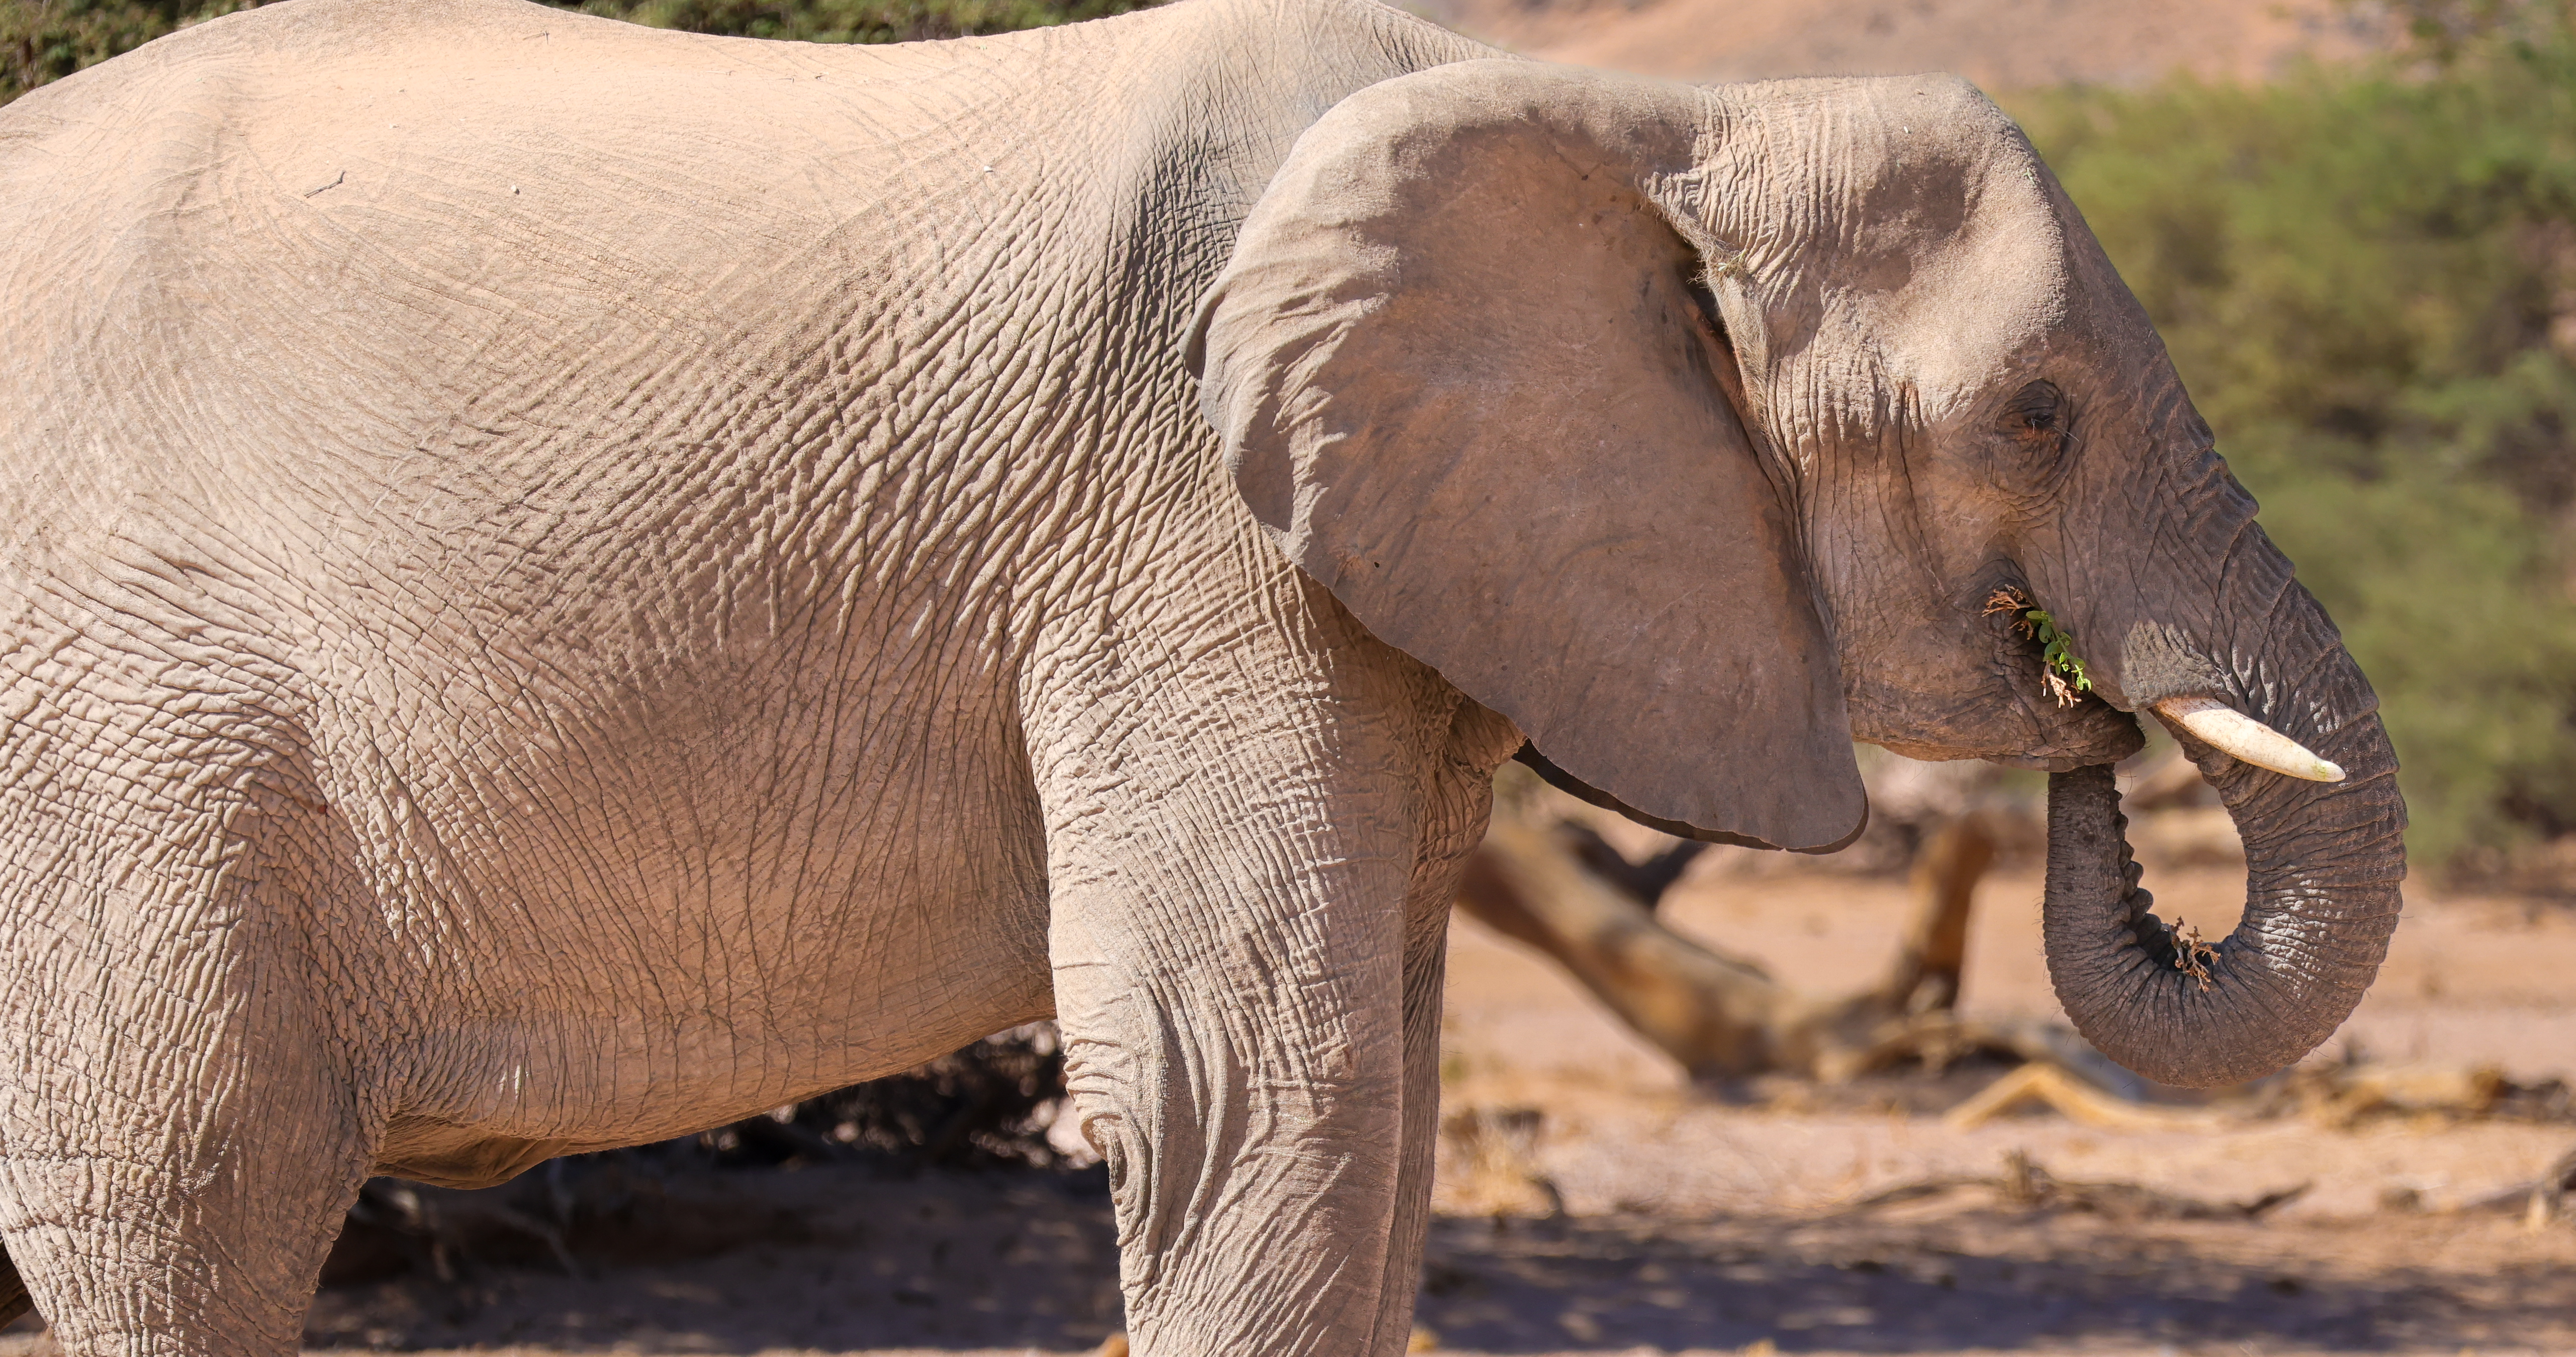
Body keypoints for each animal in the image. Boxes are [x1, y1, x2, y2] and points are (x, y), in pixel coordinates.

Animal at [0, 0, 2403, 1351]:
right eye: (2035, 418)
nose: (2080, 720)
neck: (1641, 110)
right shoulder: (1175, 530)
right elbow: (1255, 1083)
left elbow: (1384, 1090)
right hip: (115, 703)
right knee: (180, 1182)